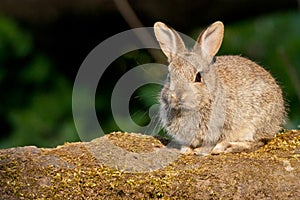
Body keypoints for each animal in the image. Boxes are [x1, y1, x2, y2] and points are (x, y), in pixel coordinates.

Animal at [155, 21, 286, 155]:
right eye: (169, 75)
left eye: (198, 77)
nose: (177, 96)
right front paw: (186, 149)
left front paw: (204, 150)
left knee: (258, 141)